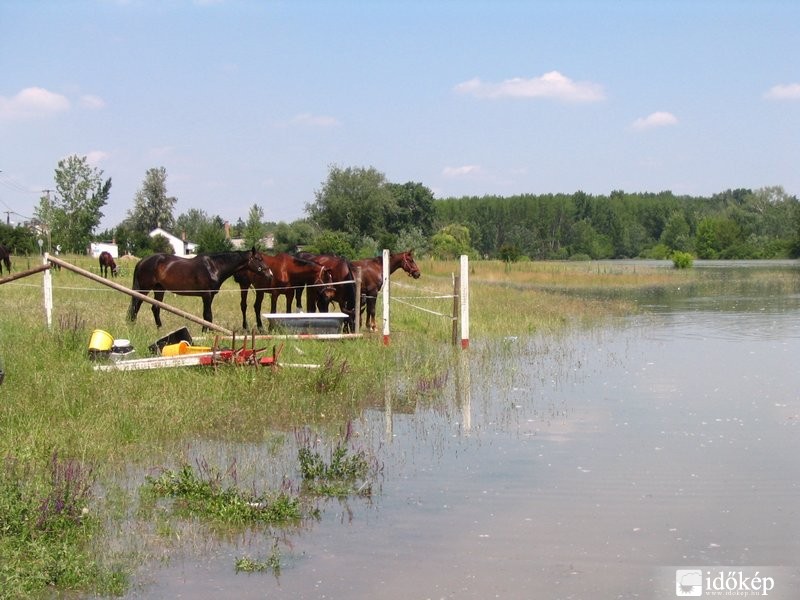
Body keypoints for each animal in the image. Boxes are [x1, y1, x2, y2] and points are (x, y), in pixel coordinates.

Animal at [128, 248, 270, 332]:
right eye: (259, 259)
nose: (270, 274)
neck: (214, 267)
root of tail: (142, 261)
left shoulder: (210, 296)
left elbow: (205, 315)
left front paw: (206, 331)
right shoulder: (206, 295)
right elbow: (208, 315)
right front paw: (208, 332)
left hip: (159, 289)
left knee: (155, 308)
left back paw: (160, 329)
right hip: (145, 289)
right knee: (136, 306)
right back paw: (133, 326)